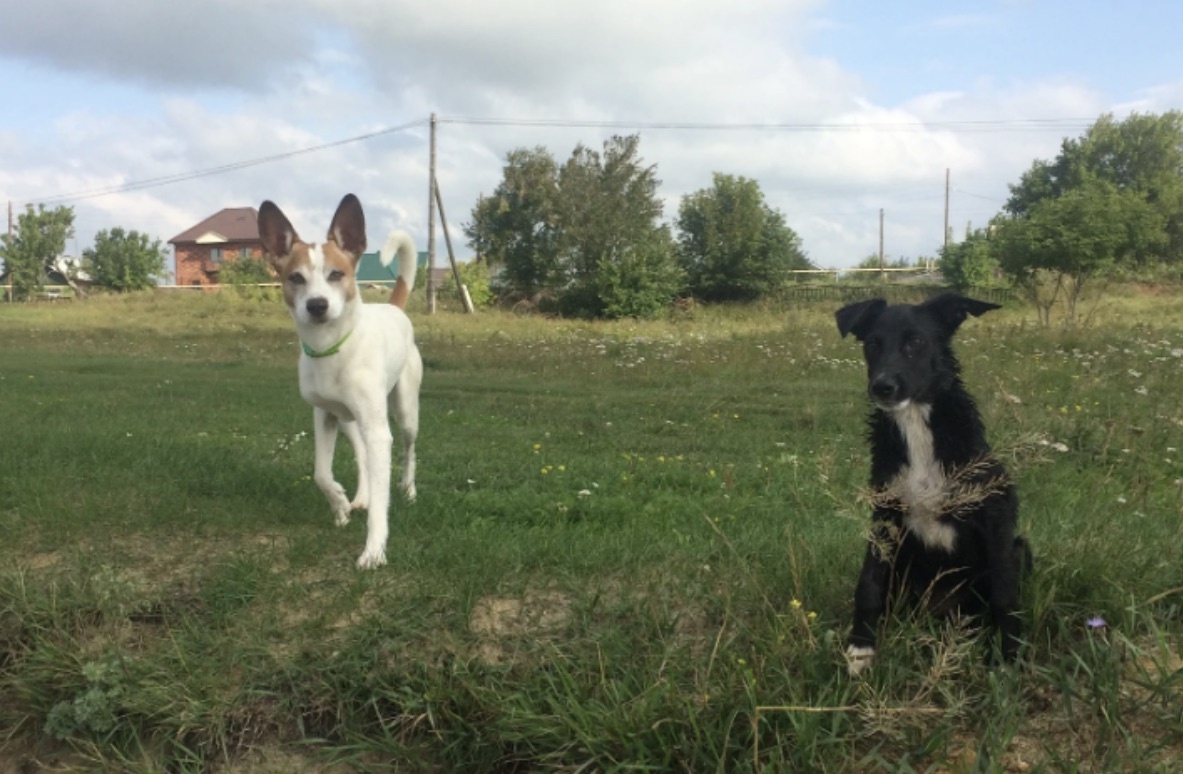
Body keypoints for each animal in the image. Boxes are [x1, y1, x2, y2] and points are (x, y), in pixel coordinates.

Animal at [256, 194, 423, 570]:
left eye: (336, 274)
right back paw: (360, 496)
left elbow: (381, 502)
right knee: (361, 453)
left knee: (408, 450)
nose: (317, 305)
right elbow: (321, 472)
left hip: (405, 411)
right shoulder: (324, 415)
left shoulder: (378, 429)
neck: (331, 349)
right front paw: (341, 506)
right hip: (348, 419)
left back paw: (408, 489)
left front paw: (374, 551)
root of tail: (394, 308)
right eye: (296, 277)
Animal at [837, 294, 1031, 676]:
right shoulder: (884, 516)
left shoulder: (995, 517)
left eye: (916, 341)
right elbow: (867, 583)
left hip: (1019, 548)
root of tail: (942, 612)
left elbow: (1004, 594)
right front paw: (861, 648)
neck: (916, 426)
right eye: (872, 344)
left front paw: (1009, 655)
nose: (882, 386)